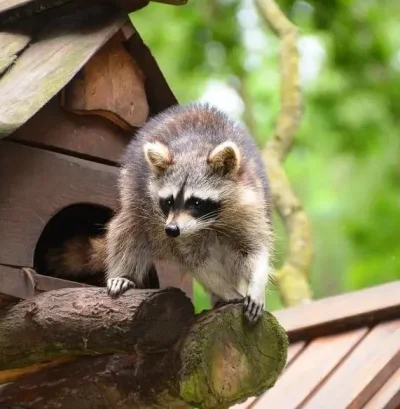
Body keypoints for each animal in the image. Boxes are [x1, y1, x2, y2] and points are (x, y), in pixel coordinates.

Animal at [46, 102, 276, 322]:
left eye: (196, 202)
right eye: (168, 201)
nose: (172, 230)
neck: (210, 223)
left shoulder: (250, 205)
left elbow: (255, 250)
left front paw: (256, 285)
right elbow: (198, 263)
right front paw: (229, 292)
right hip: (136, 199)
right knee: (128, 230)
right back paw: (124, 272)